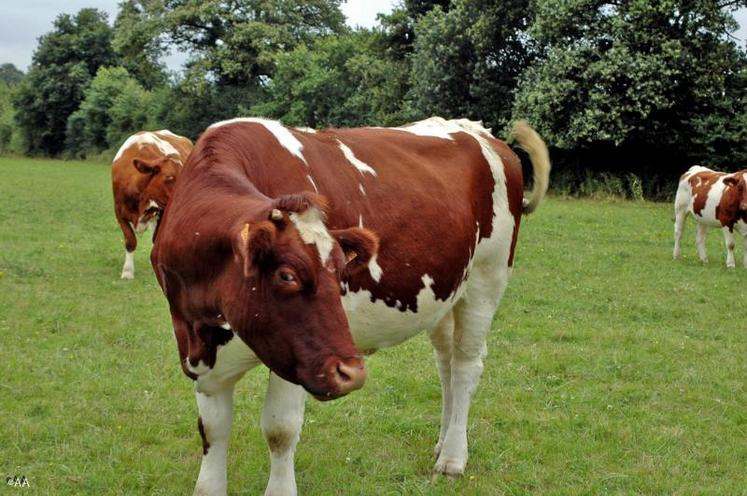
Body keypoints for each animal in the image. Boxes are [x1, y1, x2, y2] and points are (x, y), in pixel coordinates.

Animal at [112, 130, 193, 280]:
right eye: (169, 177)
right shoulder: (118, 210)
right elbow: (130, 240)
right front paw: (127, 272)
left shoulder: (162, 212)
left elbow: (156, 239)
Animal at [152, 115, 552, 492]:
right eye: (287, 275)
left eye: (341, 271)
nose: (352, 371)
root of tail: (478, 131)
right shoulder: (198, 350)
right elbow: (212, 430)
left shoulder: (299, 355)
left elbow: (280, 430)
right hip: (445, 292)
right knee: (447, 364)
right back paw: (443, 441)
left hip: (487, 278)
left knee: (467, 364)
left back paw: (453, 457)